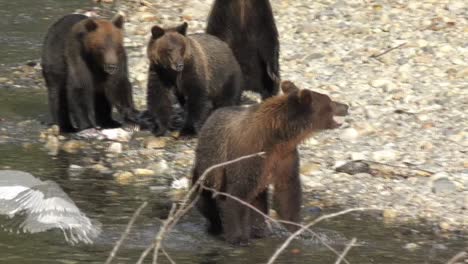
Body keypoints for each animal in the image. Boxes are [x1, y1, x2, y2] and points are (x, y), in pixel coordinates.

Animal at [190, 81, 348, 245]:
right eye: (330, 100)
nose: (346, 106)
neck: (278, 136)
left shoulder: (284, 157)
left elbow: (287, 192)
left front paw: (300, 230)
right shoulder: (249, 154)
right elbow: (238, 193)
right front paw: (238, 237)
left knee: (258, 200)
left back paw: (260, 230)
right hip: (208, 166)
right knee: (206, 197)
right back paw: (216, 226)